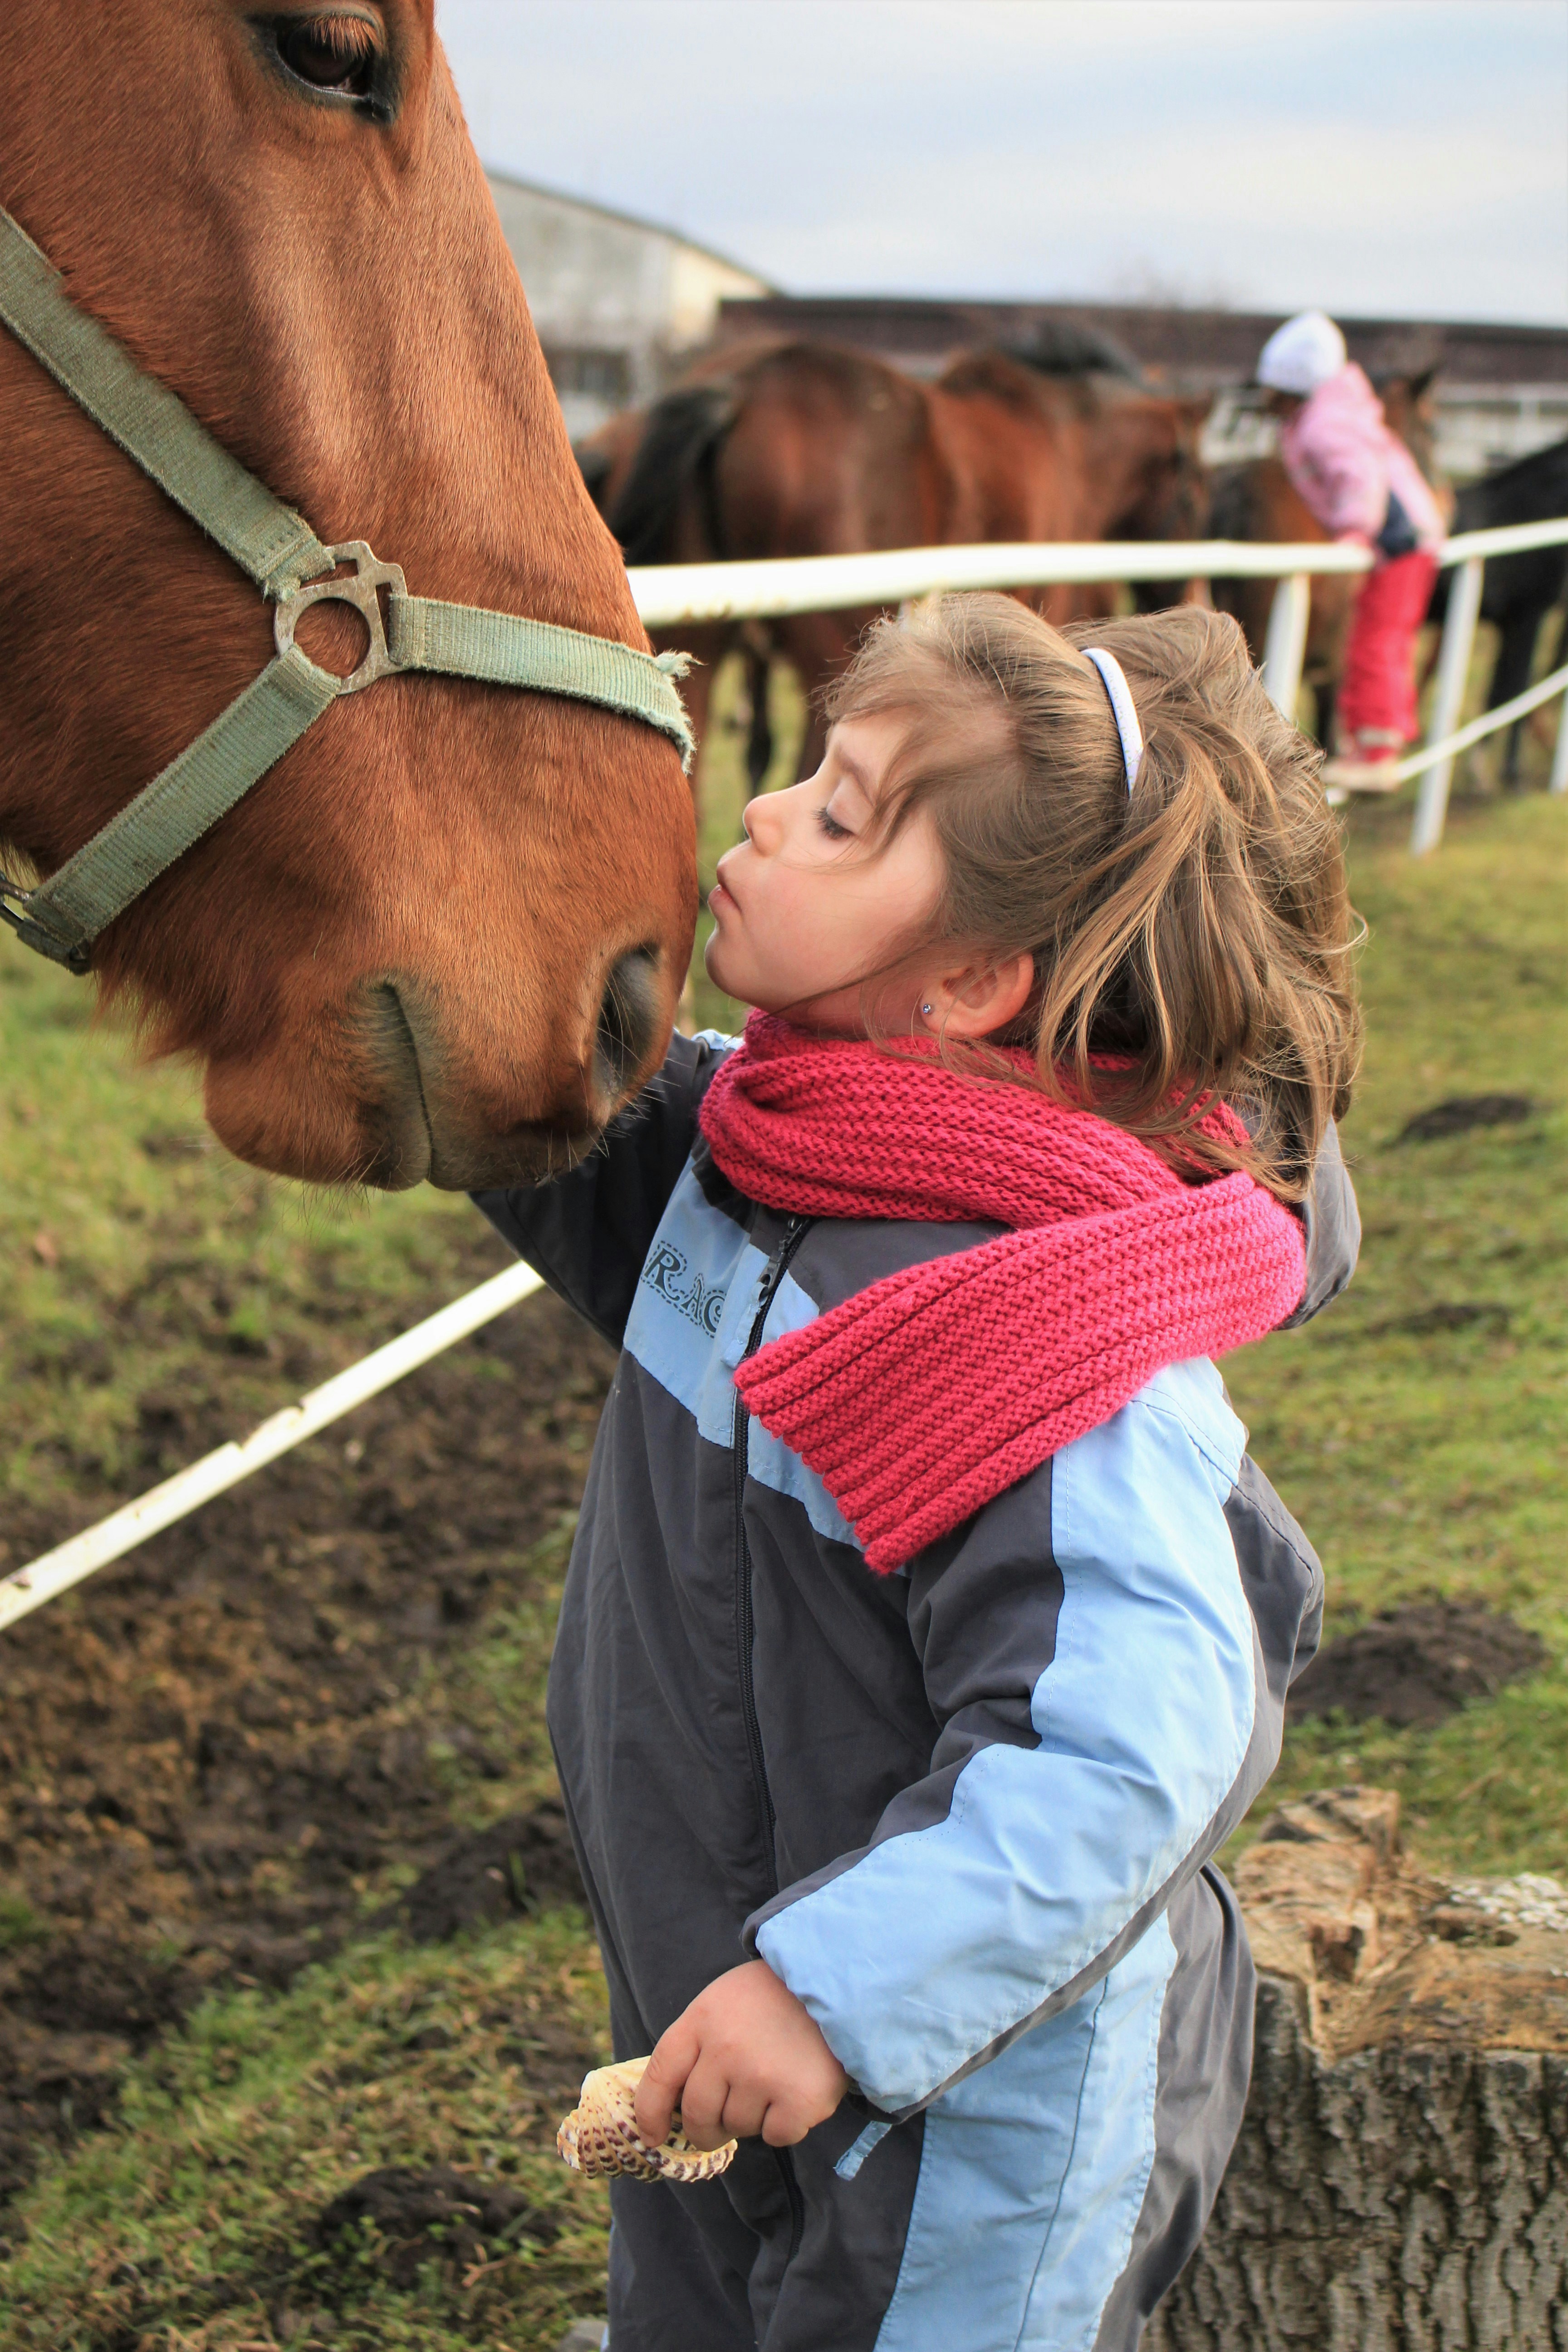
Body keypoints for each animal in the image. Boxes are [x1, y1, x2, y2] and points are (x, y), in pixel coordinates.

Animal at [583, 322, 1213, 799]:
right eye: (1193, 495)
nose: (1197, 600)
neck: (1068, 441)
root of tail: (739, 387)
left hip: (711, 641)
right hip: (832, 651)